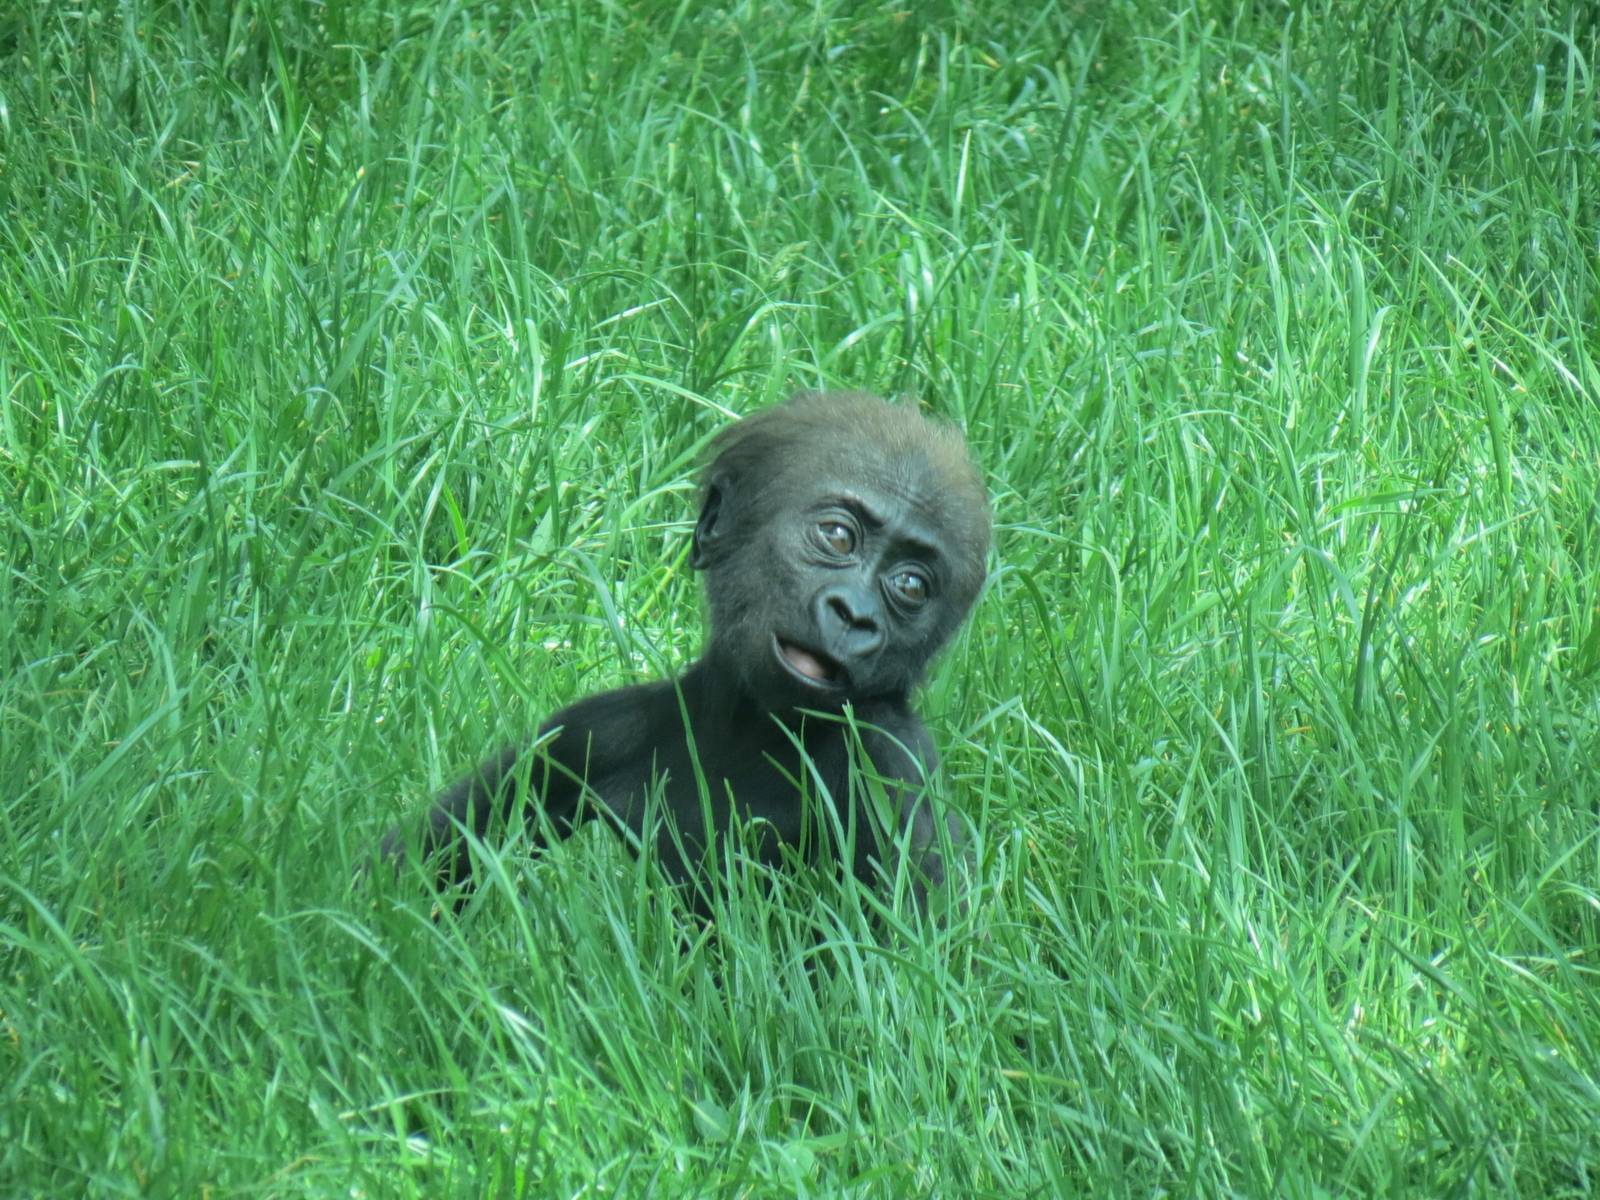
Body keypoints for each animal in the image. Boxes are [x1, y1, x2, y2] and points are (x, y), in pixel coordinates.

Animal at [381, 390, 990, 912]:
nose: (857, 615)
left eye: (910, 586)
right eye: (839, 537)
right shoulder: (587, 731)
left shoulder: (889, 758)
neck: (742, 729)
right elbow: (407, 873)